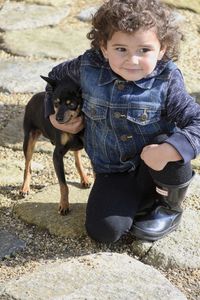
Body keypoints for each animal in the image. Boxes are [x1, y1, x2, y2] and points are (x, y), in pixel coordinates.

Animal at [20, 75, 90, 216]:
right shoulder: (57, 155)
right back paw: (25, 188)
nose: (58, 119)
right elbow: (63, 185)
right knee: (27, 166)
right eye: (56, 103)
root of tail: (33, 96)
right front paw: (64, 205)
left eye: (71, 104)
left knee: (77, 160)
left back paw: (84, 178)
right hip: (29, 140)